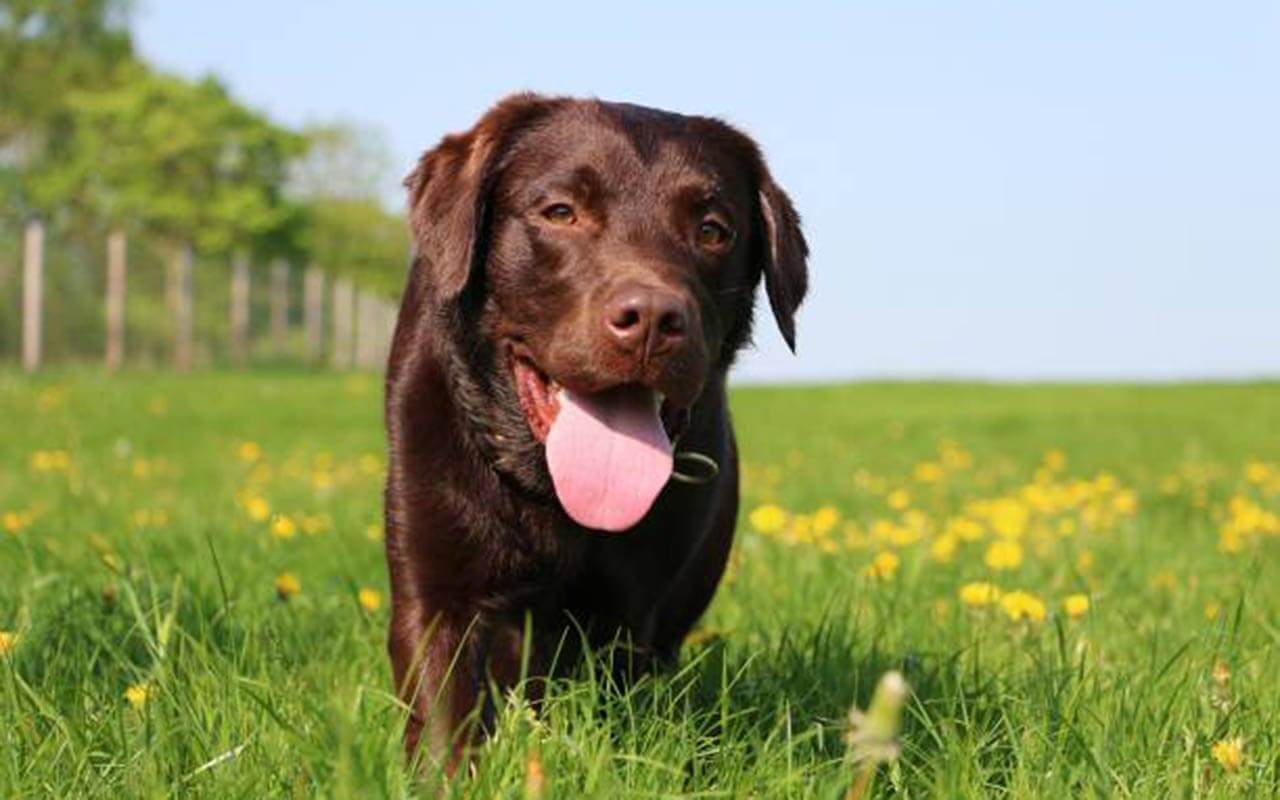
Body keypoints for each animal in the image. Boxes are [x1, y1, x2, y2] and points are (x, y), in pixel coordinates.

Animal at [378, 93, 803, 762]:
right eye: (560, 212)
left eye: (713, 230)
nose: (652, 318)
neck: (551, 491)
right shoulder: (437, 589)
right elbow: (445, 715)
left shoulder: (629, 618)